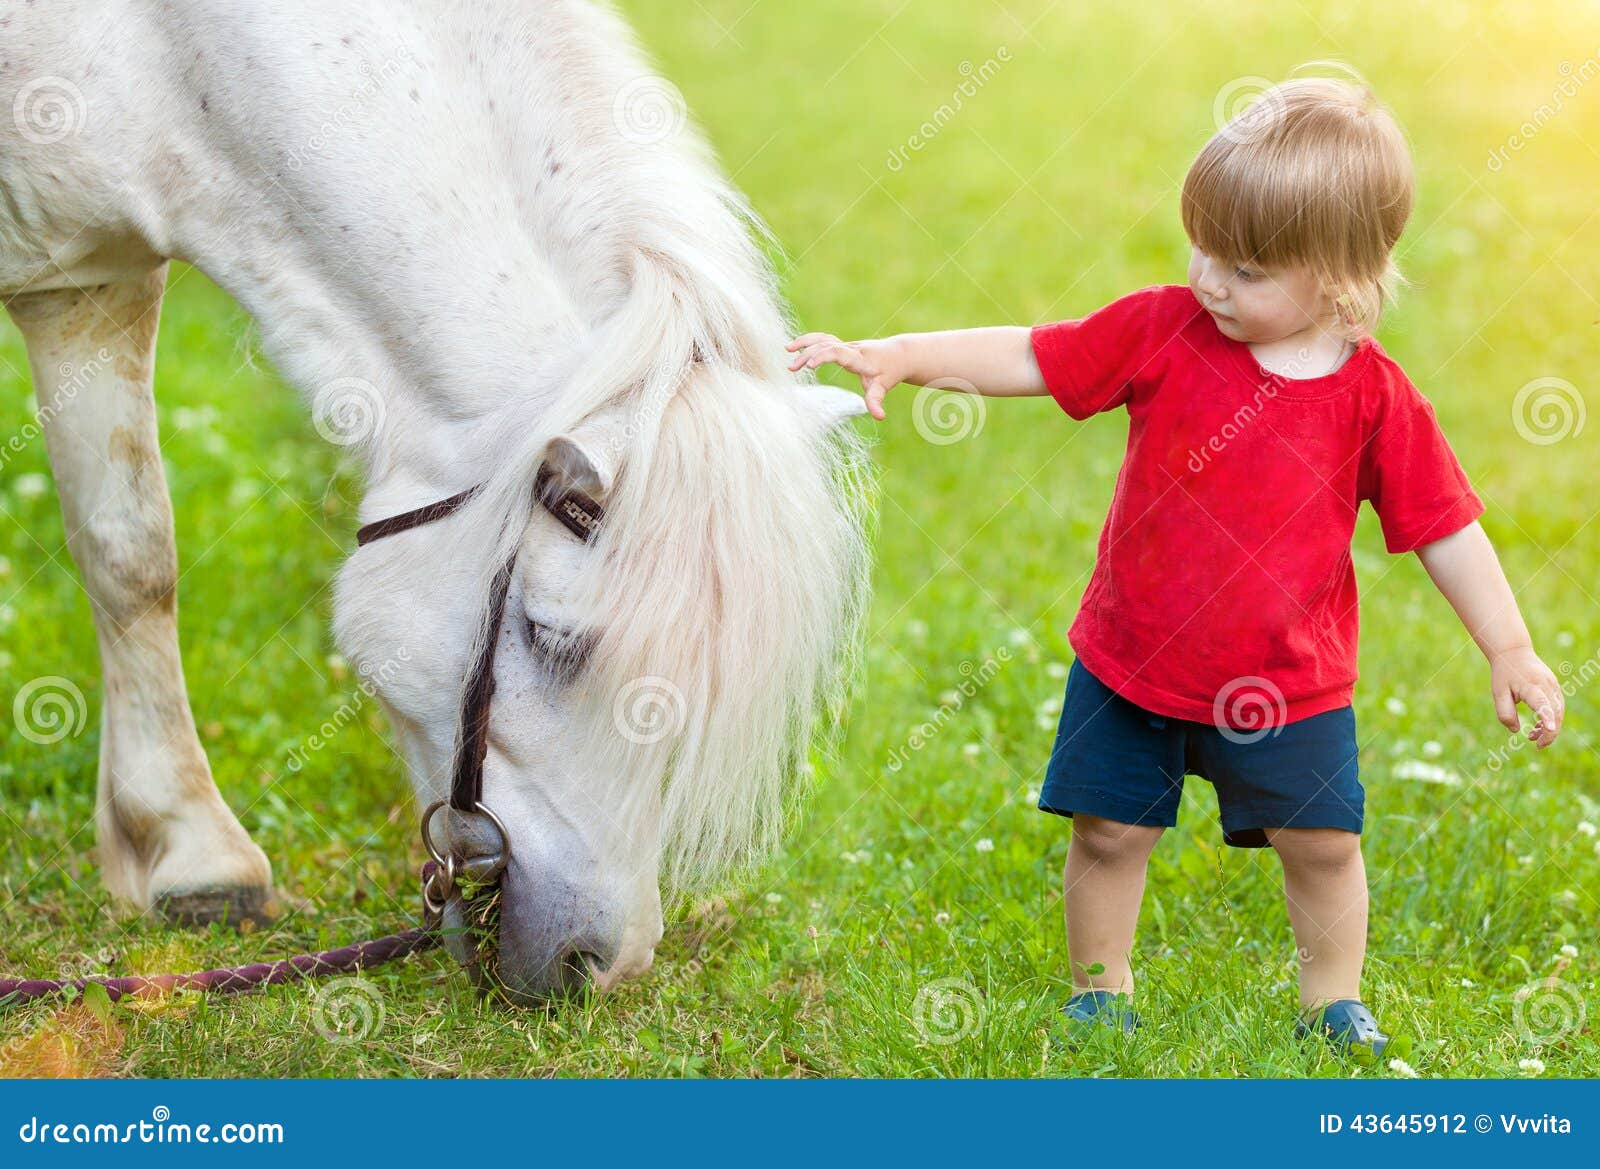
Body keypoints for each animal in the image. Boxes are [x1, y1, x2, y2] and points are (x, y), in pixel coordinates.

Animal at [3, 2, 876, 1004]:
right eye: (552, 639)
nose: (601, 963)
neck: (169, 53)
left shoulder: (86, 285)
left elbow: (131, 553)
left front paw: (179, 843)